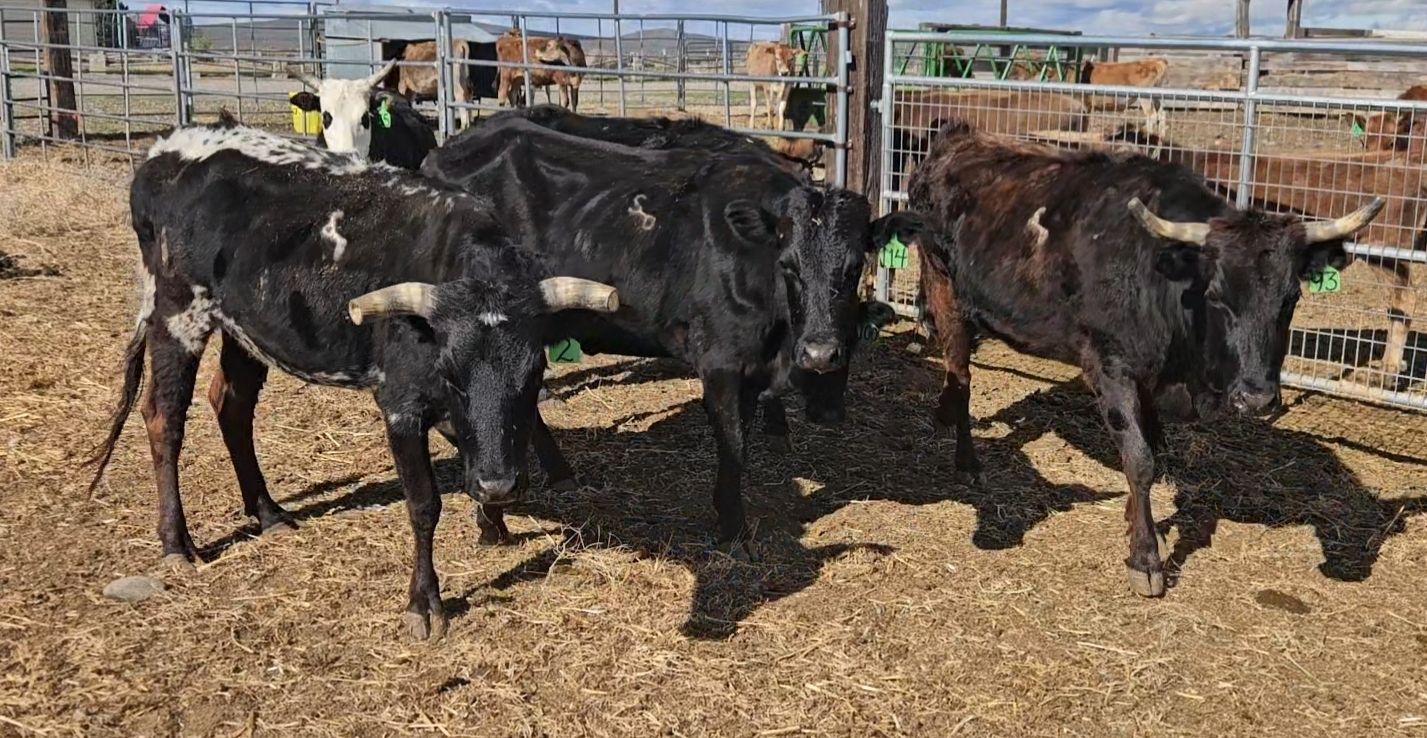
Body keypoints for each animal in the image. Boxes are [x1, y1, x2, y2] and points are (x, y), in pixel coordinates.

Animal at [85, 121, 620, 640]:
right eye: (451, 371)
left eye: (534, 372)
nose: (500, 485)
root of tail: (164, 152)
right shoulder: (400, 404)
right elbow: (423, 505)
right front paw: (425, 604)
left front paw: (492, 522)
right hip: (178, 313)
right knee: (164, 417)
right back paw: (177, 541)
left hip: (247, 327)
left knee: (232, 406)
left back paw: (268, 513)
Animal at [423, 115, 916, 554]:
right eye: (789, 265)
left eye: (854, 267)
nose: (818, 353)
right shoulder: (721, 362)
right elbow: (733, 444)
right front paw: (733, 528)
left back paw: (557, 472)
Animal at [908, 121, 1383, 597]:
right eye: (1216, 294)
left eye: (1292, 298)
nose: (1257, 399)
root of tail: (958, 137)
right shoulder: (1111, 366)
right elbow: (1139, 459)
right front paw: (1145, 557)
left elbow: (1153, 448)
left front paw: (1137, 524)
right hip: (946, 291)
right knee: (961, 373)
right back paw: (967, 460)